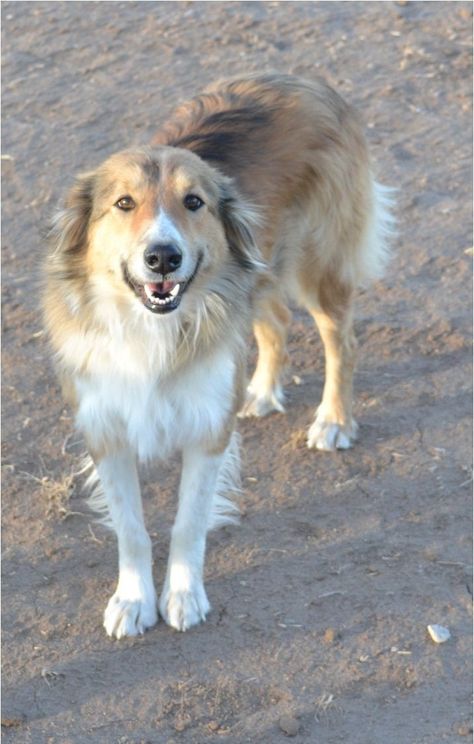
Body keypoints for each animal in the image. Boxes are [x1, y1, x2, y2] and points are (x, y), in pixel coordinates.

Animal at [43, 74, 392, 640]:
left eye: (194, 201)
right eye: (123, 203)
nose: (163, 256)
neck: (151, 329)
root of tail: (306, 80)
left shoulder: (207, 430)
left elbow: (188, 524)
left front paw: (183, 596)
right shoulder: (106, 428)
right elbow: (132, 529)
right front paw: (133, 600)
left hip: (317, 264)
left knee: (340, 339)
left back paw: (335, 419)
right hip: (261, 270)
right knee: (276, 321)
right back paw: (262, 391)